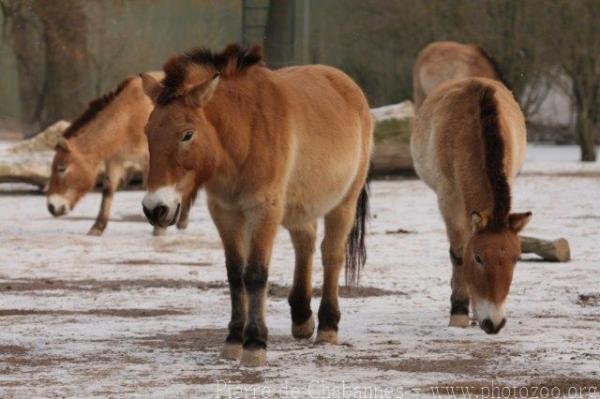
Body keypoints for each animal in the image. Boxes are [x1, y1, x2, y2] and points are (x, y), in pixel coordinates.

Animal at [47, 72, 197, 236]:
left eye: (62, 168)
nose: (51, 207)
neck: (128, 117)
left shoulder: (150, 161)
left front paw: (159, 228)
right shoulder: (115, 160)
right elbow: (108, 190)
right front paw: (97, 227)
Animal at [141, 44, 372, 368]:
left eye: (187, 134)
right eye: (148, 132)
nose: (155, 208)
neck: (244, 132)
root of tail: (347, 85)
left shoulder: (264, 211)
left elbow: (255, 274)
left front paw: (254, 344)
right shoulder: (225, 213)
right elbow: (235, 274)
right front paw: (233, 340)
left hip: (344, 203)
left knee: (332, 255)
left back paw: (327, 327)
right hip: (300, 208)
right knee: (305, 244)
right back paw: (302, 319)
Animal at [410, 77, 532, 334]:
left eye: (516, 259)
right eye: (478, 258)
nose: (495, 323)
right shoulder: (449, 200)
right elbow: (458, 253)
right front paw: (458, 313)